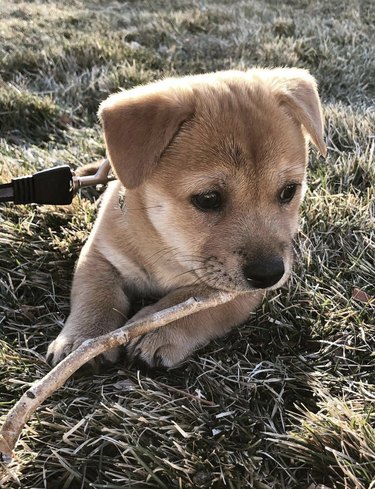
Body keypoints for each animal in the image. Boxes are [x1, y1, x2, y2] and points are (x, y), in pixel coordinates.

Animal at [47, 67, 326, 366]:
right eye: (208, 199)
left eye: (289, 191)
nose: (270, 274)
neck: (168, 249)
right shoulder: (99, 255)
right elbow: (95, 295)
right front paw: (82, 338)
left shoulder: (237, 295)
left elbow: (193, 303)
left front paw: (158, 328)